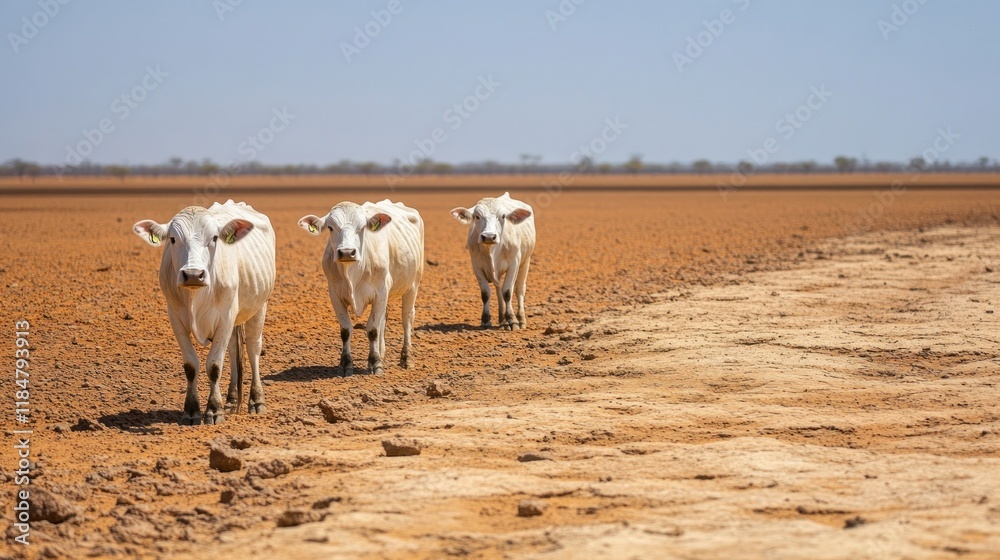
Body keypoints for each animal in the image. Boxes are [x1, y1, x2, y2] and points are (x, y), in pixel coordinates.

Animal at [133, 200, 276, 425]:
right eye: (172, 239)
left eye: (215, 238)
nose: (193, 274)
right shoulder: (176, 318)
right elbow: (191, 365)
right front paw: (191, 410)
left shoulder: (226, 317)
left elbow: (214, 366)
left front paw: (214, 410)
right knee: (233, 350)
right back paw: (231, 399)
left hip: (259, 306)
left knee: (253, 349)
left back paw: (256, 400)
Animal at [297, 200, 423, 375]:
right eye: (330, 227)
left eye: (362, 227)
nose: (346, 252)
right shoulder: (335, 295)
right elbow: (346, 330)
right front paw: (346, 364)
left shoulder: (380, 292)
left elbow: (372, 329)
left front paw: (375, 363)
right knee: (383, 320)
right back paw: (381, 352)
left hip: (413, 284)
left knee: (407, 318)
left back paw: (406, 358)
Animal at [450, 192, 535, 330]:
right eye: (477, 216)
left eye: (503, 216)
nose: (489, 236)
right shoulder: (476, 265)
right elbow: (486, 293)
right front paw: (486, 320)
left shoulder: (514, 263)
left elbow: (508, 292)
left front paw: (512, 320)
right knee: (498, 288)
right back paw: (502, 318)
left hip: (525, 261)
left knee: (519, 289)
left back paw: (521, 319)